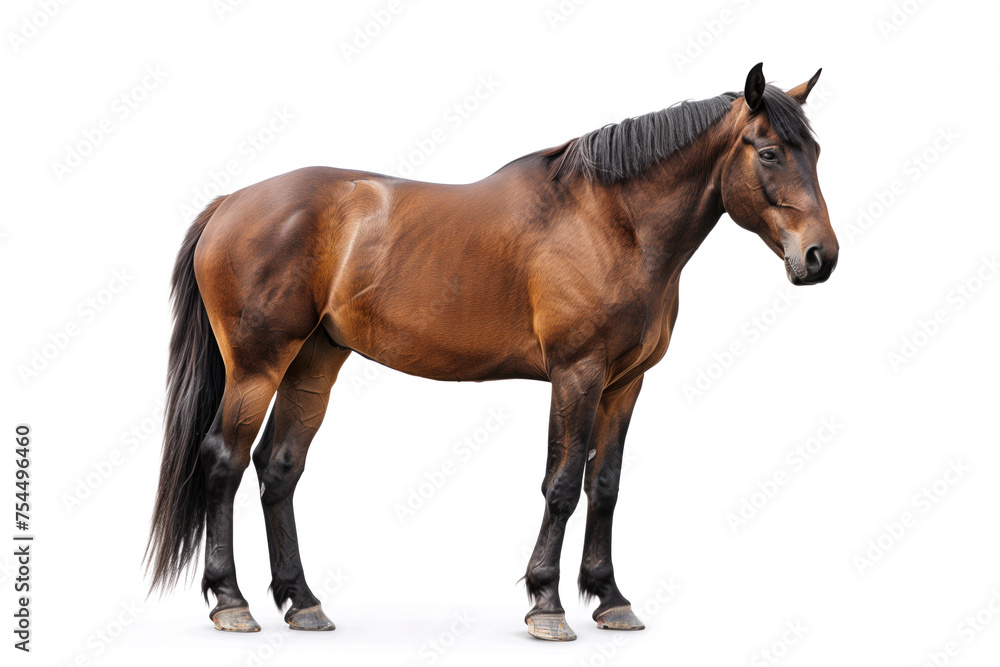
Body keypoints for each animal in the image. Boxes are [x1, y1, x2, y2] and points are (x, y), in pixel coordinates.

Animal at [146, 63, 838, 641]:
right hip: (256, 367)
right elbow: (562, 484)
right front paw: (547, 605)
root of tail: (231, 202)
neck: (613, 222)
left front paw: (611, 599)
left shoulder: (624, 383)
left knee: (279, 466)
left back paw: (303, 601)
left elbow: (605, 485)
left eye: (816, 152)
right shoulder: (577, 374)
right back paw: (231, 602)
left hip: (314, 363)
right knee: (224, 460)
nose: (820, 258)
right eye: (770, 152)